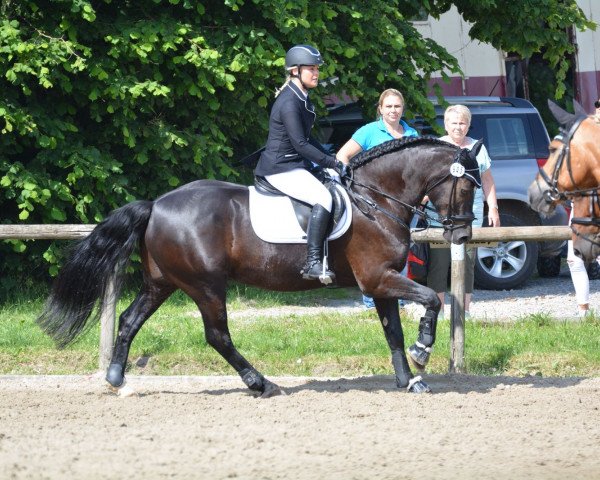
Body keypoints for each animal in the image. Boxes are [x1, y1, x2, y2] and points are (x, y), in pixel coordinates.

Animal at [37, 137, 480, 396]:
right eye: (466, 184)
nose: (461, 236)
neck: (376, 200)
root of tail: (156, 205)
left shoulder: (380, 282)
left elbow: (393, 332)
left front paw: (410, 379)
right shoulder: (378, 278)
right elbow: (431, 300)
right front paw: (423, 350)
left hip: (163, 282)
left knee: (130, 319)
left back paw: (116, 379)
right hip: (205, 285)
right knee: (217, 336)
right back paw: (259, 382)